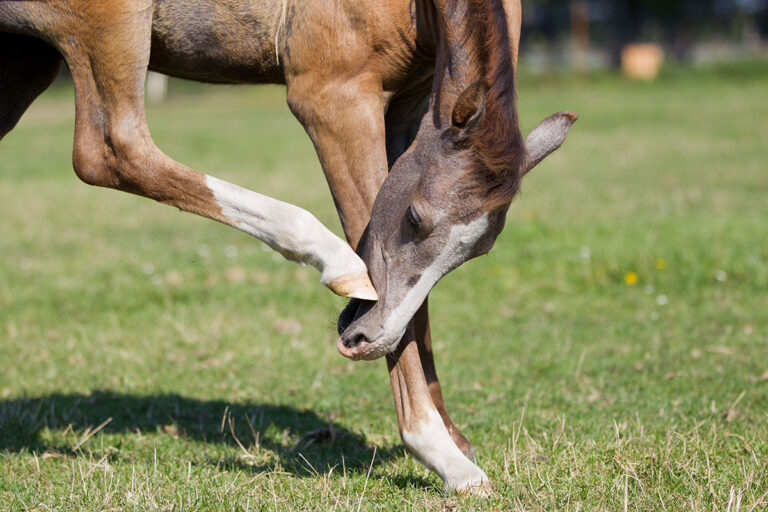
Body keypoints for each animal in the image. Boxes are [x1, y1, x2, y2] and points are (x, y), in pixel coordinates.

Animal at [0, 0, 575, 493]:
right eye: (415, 218)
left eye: (475, 253)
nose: (366, 341)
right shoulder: (335, 97)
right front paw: (443, 455)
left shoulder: (412, 105)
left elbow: (415, 300)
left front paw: (452, 436)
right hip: (110, 25)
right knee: (109, 150)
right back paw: (331, 256)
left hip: (25, 60)